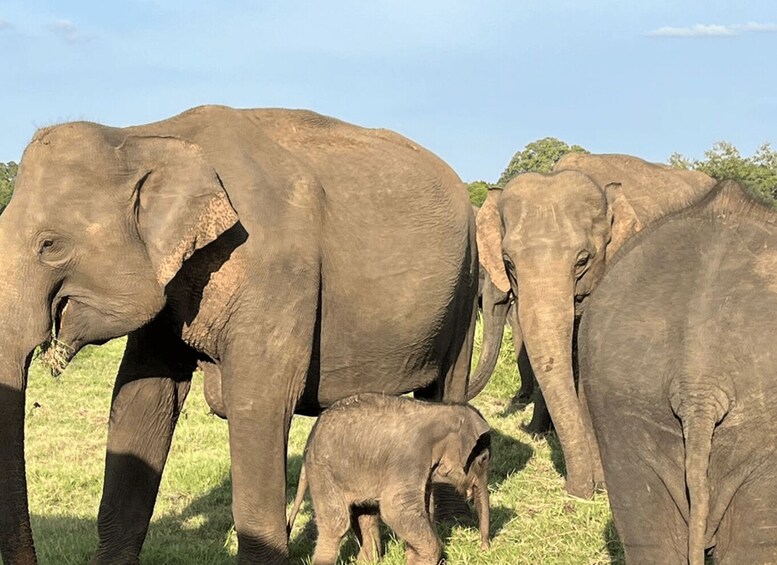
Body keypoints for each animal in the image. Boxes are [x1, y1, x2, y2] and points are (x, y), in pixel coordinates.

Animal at [286, 393, 491, 564]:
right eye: (484, 460)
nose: (483, 549)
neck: (441, 410)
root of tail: (308, 442)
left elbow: (423, 509)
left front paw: (414, 559)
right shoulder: (409, 458)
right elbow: (396, 508)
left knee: (366, 516)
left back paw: (367, 561)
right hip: (323, 471)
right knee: (337, 524)